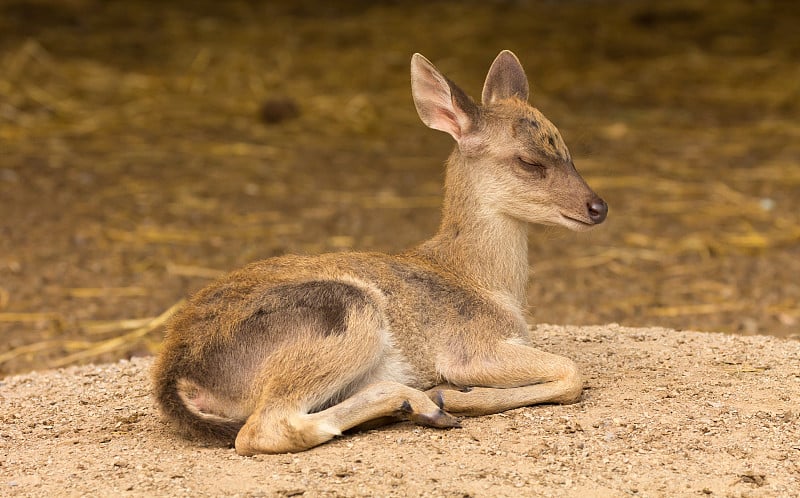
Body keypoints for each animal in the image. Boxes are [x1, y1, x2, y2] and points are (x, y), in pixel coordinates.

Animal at [153, 49, 608, 456]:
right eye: (529, 161)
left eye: (568, 150)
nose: (598, 207)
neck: (488, 285)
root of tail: (177, 376)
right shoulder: (468, 346)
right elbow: (572, 372)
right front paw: (455, 394)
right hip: (344, 312)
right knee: (263, 429)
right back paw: (425, 404)